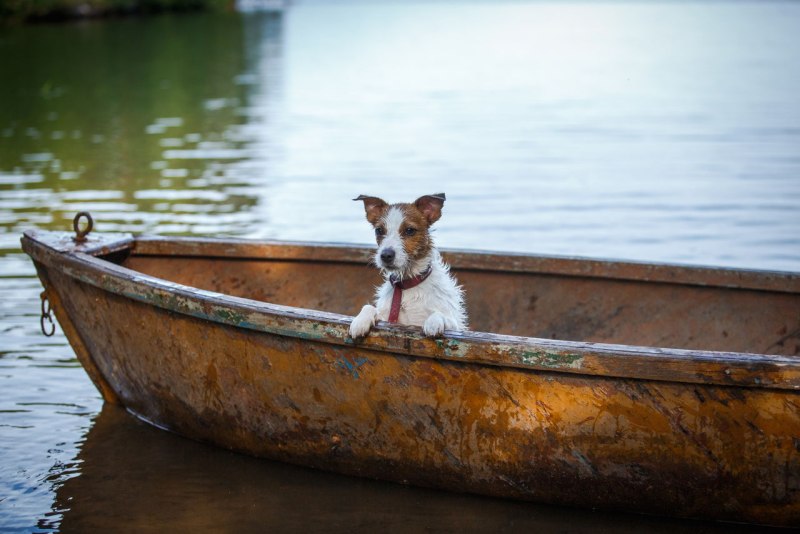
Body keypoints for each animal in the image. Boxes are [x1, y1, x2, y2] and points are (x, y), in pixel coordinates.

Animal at [346, 195, 466, 342]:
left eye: (409, 230)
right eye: (379, 230)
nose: (386, 255)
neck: (406, 285)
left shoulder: (455, 326)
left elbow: (440, 315)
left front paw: (434, 322)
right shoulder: (387, 319)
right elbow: (369, 307)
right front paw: (360, 321)